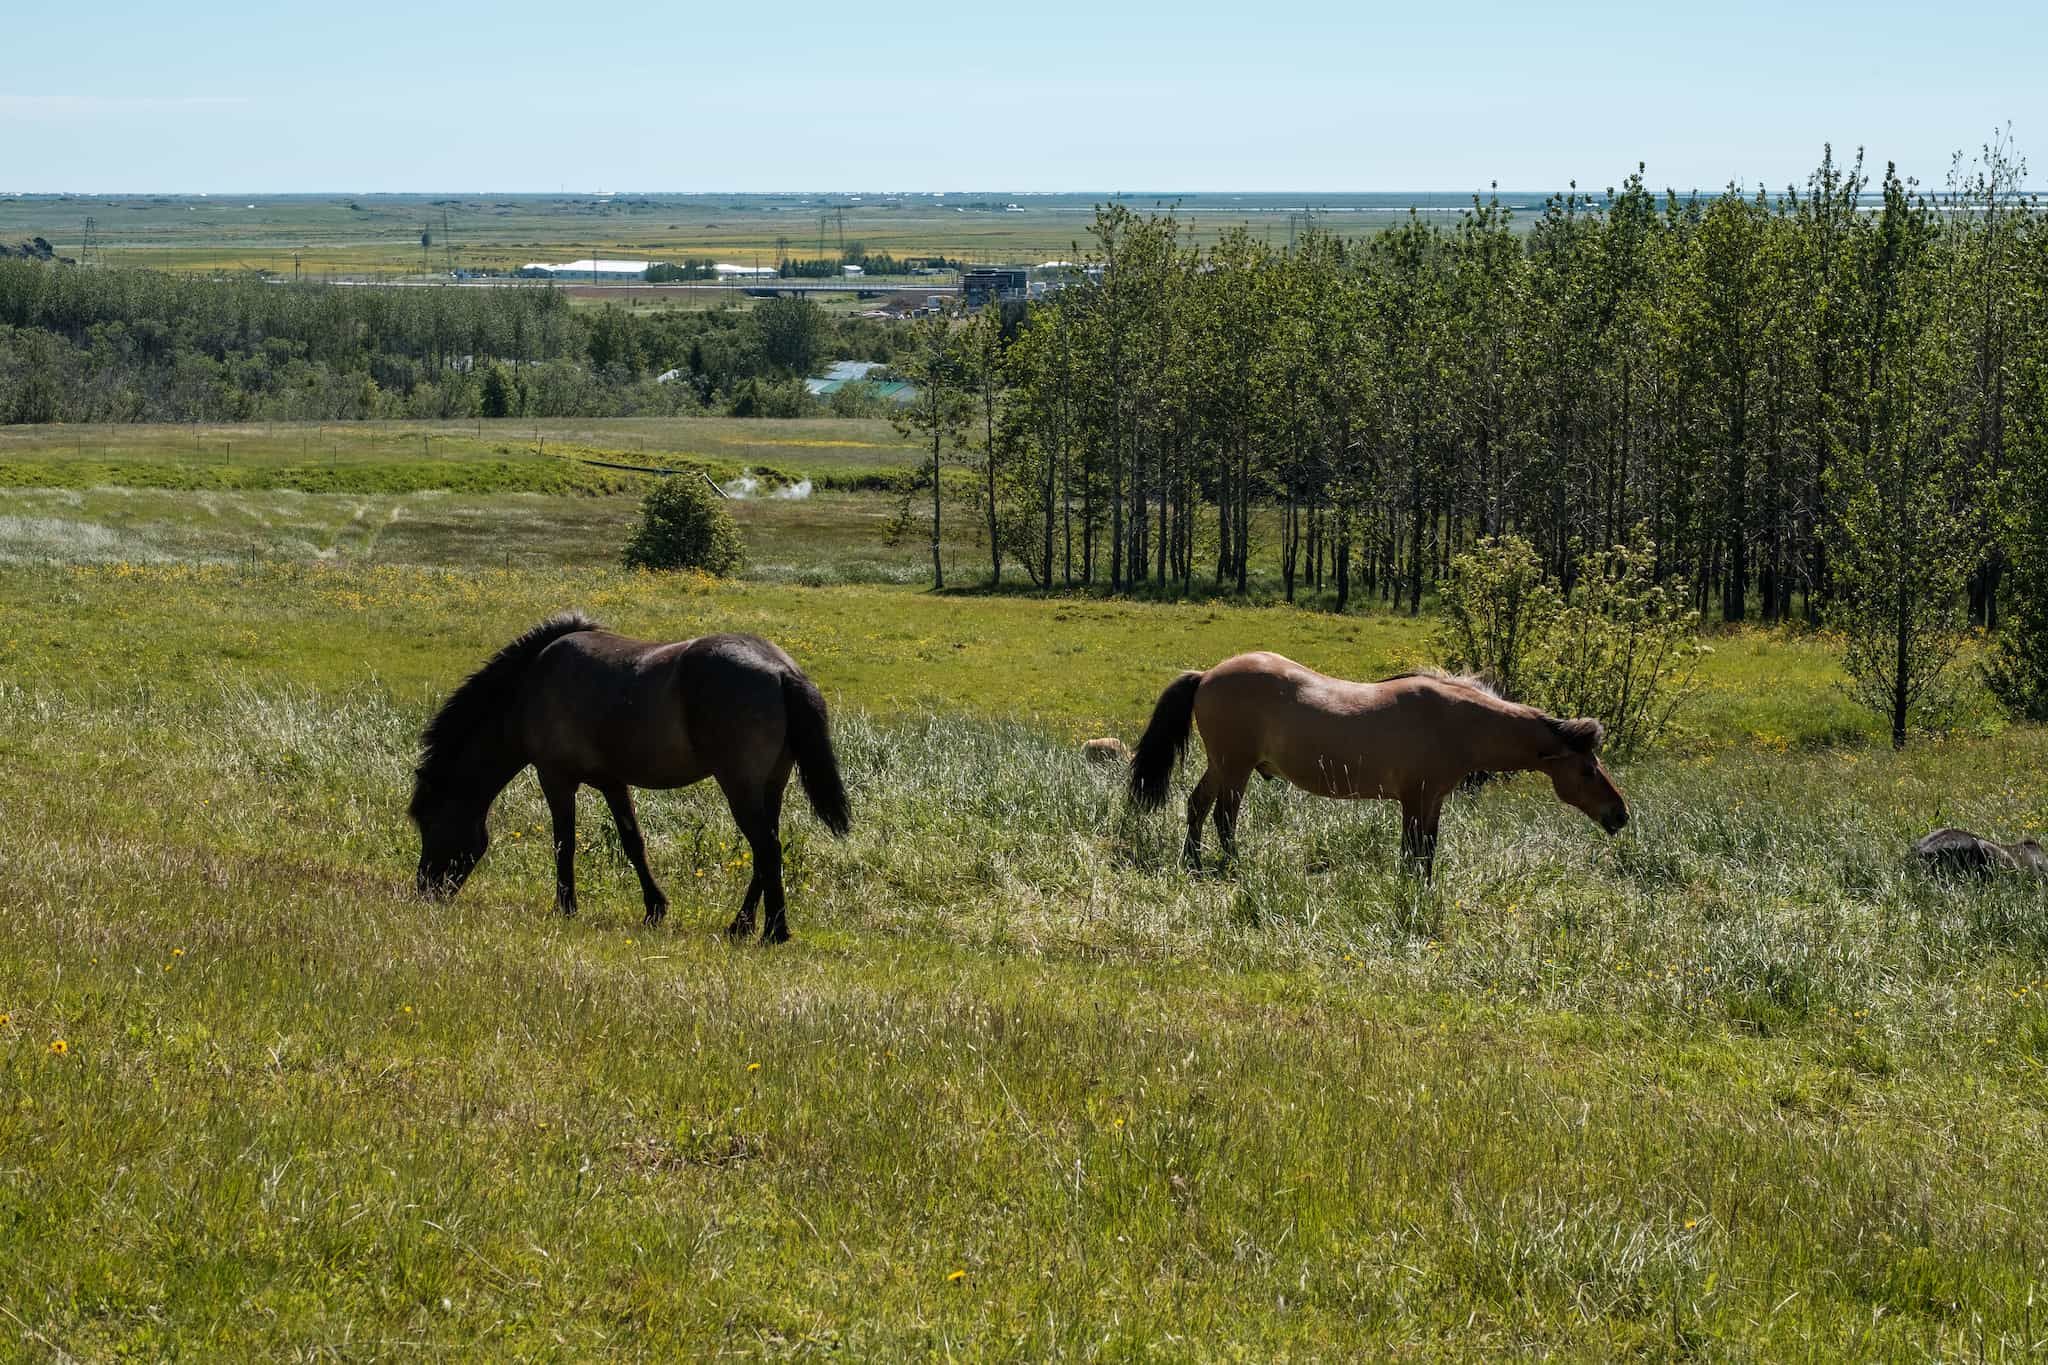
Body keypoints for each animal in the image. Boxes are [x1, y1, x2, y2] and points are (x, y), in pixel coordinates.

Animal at [407, 618, 847, 945]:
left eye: (430, 823)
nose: (425, 891)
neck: (529, 687)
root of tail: (780, 669)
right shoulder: (612, 782)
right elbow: (633, 841)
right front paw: (654, 909)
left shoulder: (555, 777)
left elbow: (564, 843)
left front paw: (566, 908)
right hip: (770, 785)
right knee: (766, 852)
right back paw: (741, 926)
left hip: (739, 785)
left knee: (767, 850)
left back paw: (774, 931)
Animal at [1130, 650, 1622, 875]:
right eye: (1587, 770)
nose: (1620, 815)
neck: (1455, 721)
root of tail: (1207, 675)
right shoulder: (1414, 798)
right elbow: (1413, 850)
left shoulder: (1431, 800)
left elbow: (1427, 849)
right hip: (1235, 767)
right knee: (1223, 816)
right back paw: (1233, 865)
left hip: (1222, 765)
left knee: (1196, 806)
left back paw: (1193, 863)